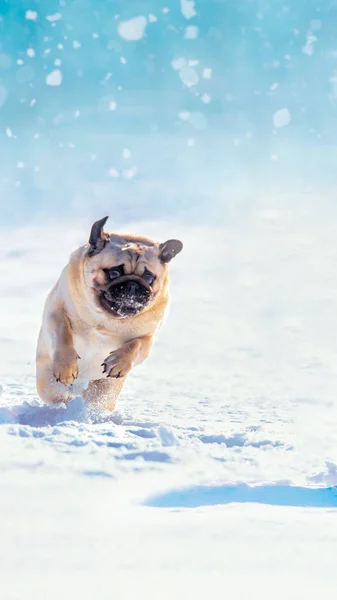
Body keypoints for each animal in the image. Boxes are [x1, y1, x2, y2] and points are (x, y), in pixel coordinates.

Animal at [35, 218, 182, 410]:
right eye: (114, 272)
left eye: (149, 278)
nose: (133, 285)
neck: (106, 319)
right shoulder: (57, 311)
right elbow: (63, 334)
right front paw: (66, 368)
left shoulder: (147, 337)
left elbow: (135, 345)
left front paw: (118, 362)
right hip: (47, 381)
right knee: (58, 395)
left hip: (106, 389)